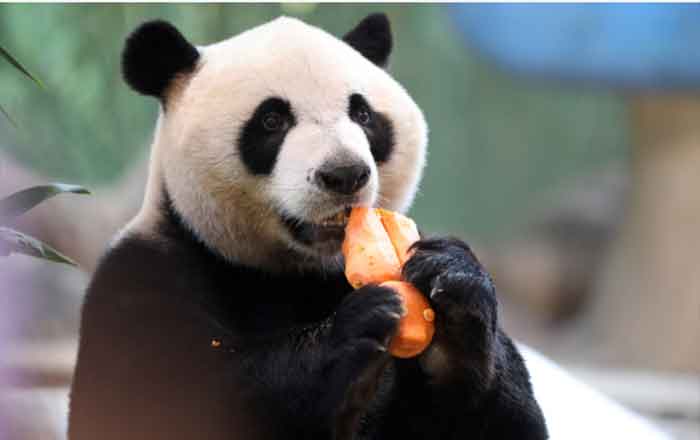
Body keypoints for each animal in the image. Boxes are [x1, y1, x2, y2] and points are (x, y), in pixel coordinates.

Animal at [69, 14, 547, 440]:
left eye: (363, 114)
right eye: (272, 120)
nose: (345, 174)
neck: (291, 274)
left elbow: (504, 425)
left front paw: (454, 296)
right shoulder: (144, 279)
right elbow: (179, 405)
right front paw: (359, 326)